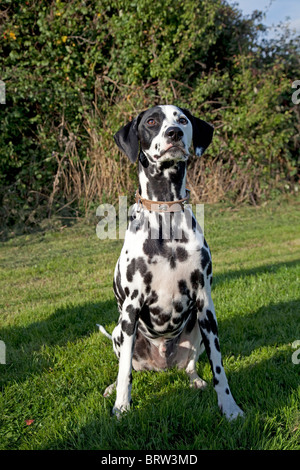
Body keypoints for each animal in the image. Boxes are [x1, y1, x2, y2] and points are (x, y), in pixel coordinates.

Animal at [99, 104, 245, 420]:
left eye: (182, 120)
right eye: (152, 121)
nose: (174, 133)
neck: (165, 218)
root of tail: (162, 366)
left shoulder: (205, 305)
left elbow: (219, 367)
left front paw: (229, 408)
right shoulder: (131, 308)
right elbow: (125, 371)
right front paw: (121, 406)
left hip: (197, 329)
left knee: (190, 365)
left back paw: (195, 380)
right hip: (119, 330)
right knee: (125, 366)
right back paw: (111, 388)